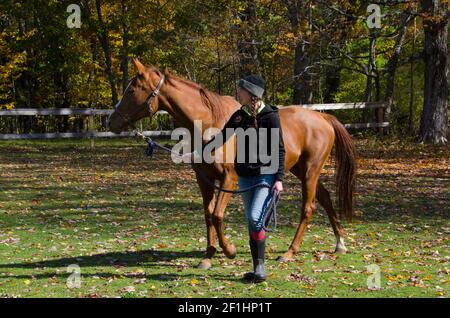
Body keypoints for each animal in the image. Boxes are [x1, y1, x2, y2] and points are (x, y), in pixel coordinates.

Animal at [107, 58, 356, 270]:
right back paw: (340, 243)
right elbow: (208, 214)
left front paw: (229, 250)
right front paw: (208, 256)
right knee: (325, 198)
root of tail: (323, 118)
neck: (210, 124)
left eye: (131, 90)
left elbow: (217, 215)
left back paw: (290, 251)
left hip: (310, 171)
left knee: (308, 208)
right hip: (301, 170)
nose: (111, 122)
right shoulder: (205, 180)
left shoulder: (229, 178)